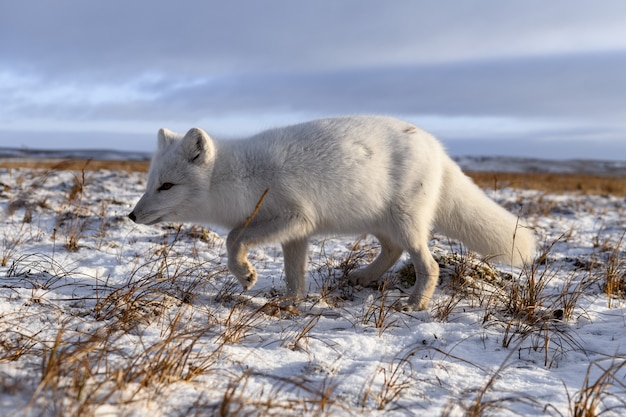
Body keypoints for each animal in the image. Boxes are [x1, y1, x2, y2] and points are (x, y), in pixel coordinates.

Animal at [129, 114, 532, 308]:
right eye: (150, 184)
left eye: (167, 186)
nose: (132, 216)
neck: (238, 175)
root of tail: (438, 148)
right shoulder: (296, 233)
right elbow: (294, 274)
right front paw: (291, 301)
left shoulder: (294, 217)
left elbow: (232, 238)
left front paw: (245, 275)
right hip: (383, 223)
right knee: (392, 251)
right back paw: (363, 278)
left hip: (406, 223)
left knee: (428, 265)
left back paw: (415, 303)